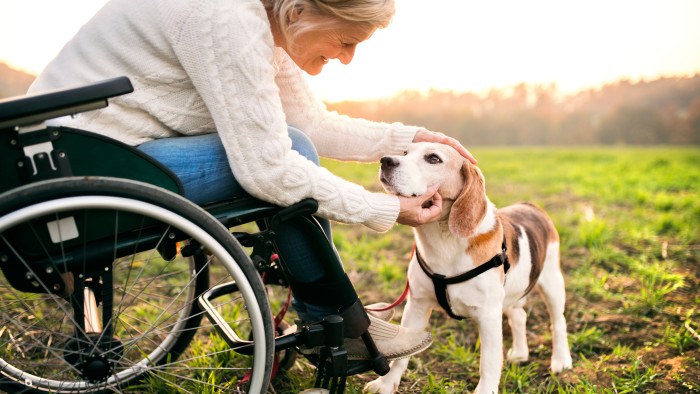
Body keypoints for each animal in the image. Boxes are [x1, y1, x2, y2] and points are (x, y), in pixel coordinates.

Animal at [364, 143, 572, 394]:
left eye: (433, 159)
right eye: (404, 153)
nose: (385, 161)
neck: (443, 239)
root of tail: (529, 205)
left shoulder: (488, 315)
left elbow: (489, 363)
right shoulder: (417, 305)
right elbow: (402, 354)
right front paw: (386, 384)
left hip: (552, 283)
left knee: (558, 322)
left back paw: (561, 360)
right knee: (519, 316)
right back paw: (521, 353)